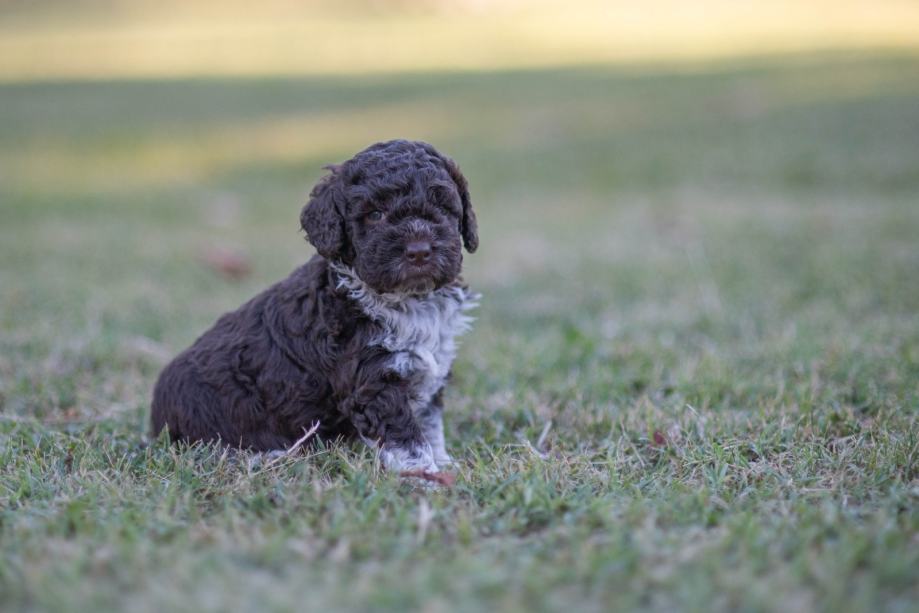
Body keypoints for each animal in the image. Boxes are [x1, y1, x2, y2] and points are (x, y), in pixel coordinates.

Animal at [149, 141, 482, 476]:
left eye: (443, 207)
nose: (419, 251)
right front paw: (425, 475)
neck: (408, 301)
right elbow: (406, 438)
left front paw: (445, 463)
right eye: (376, 214)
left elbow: (429, 424)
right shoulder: (373, 382)